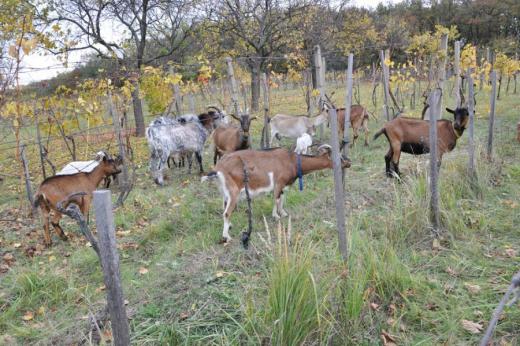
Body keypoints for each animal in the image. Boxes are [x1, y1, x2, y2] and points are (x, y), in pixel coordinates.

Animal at [201, 145, 352, 241]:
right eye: (339, 156)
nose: (349, 162)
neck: (292, 161)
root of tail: (218, 168)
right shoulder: (279, 182)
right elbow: (276, 198)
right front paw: (276, 216)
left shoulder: (283, 185)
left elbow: (281, 198)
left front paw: (283, 213)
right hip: (234, 191)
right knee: (227, 212)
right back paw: (226, 237)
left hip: (224, 191)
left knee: (224, 208)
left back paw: (229, 226)